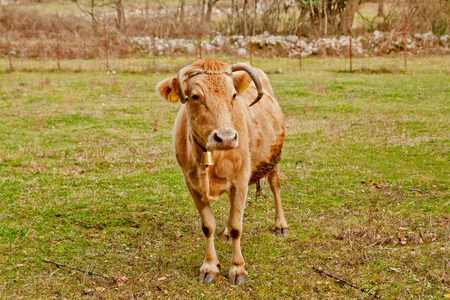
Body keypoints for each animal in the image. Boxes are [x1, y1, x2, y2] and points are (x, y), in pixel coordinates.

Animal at [155, 58, 288, 286]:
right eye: (195, 96)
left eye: (233, 95)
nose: (226, 137)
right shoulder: (192, 185)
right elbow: (208, 225)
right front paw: (210, 266)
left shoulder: (240, 181)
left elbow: (236, 226)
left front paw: (237, 269)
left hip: (272, 159)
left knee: (275, 186)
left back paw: (280, 225)